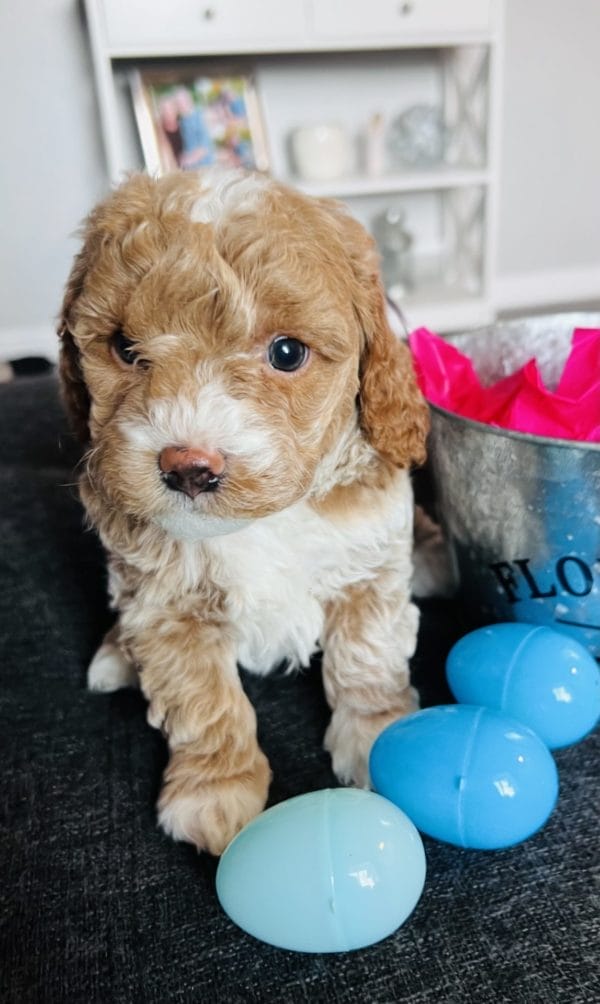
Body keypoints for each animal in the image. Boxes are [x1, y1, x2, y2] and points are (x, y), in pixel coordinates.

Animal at [58, 166, 429, 855]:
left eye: (287, 353)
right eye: (124, 347)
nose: (188, 465)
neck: (261, 523)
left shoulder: (370, 570)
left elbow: (365, 657)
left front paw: (377, 737)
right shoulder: (164, 607)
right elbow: (202, 700)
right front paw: (215, 791)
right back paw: (115, 656)